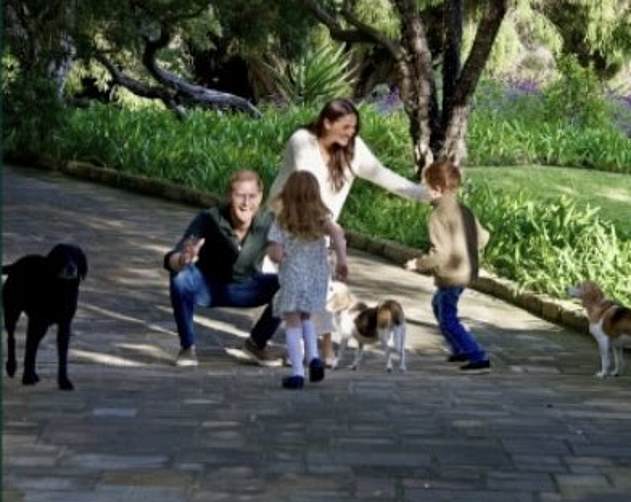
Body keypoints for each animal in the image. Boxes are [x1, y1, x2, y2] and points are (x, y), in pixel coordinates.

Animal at [2, 245, 87, 390]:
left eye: (76, 256)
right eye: (62, 255)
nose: (71, 267)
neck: (60, 288)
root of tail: (15, 264)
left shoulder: (65, 325)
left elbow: (62, 355)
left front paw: (64, 381)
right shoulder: (35, 321)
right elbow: (29, 351)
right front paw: (27, 378)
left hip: (42, 327)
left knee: (34, 345)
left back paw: (33, 373)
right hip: (12, 312)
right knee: (11, 338)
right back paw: (12, 367)